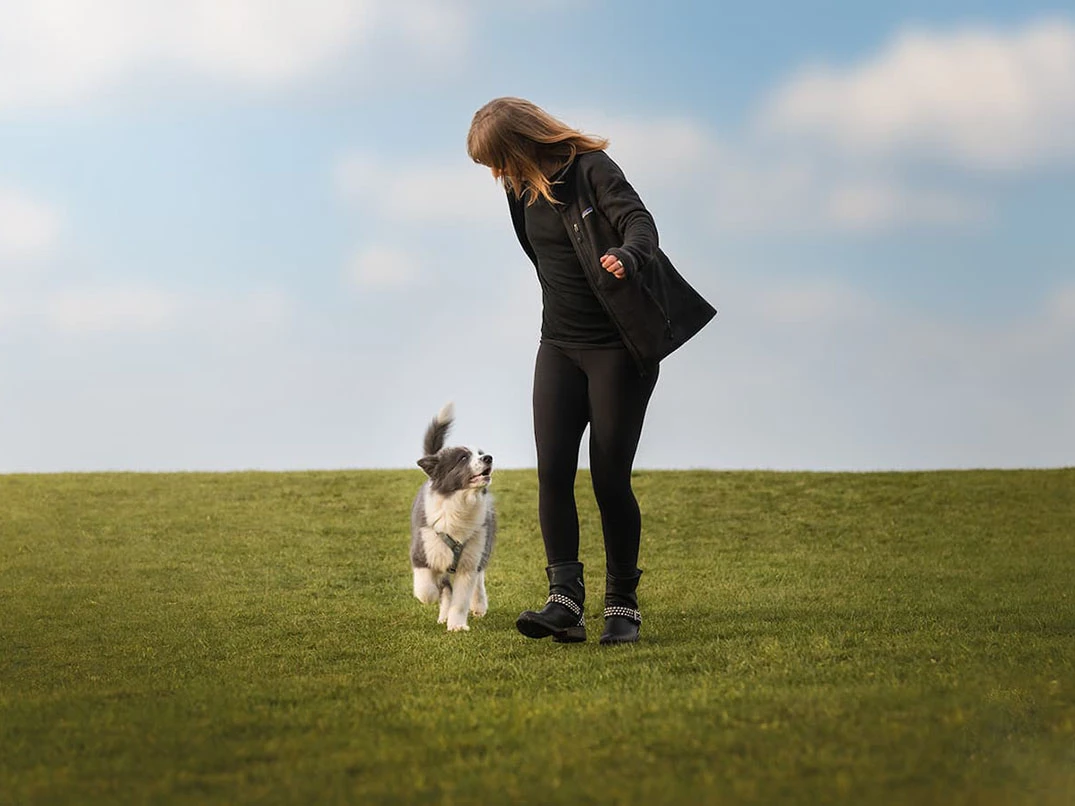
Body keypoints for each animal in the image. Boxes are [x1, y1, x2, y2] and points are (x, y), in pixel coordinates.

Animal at [408, 404, 496, 631]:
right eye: (463, 458)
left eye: (479, 454)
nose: (488, 457)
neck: (459, 503)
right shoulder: (422, 549)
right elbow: (426, 587)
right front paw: (432, 599)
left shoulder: (469, 562)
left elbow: (461, 598)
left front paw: (456, 626)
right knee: (445, 588)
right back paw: (442, 614)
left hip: (483, 543)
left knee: (479, 577)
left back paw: (478, 606)